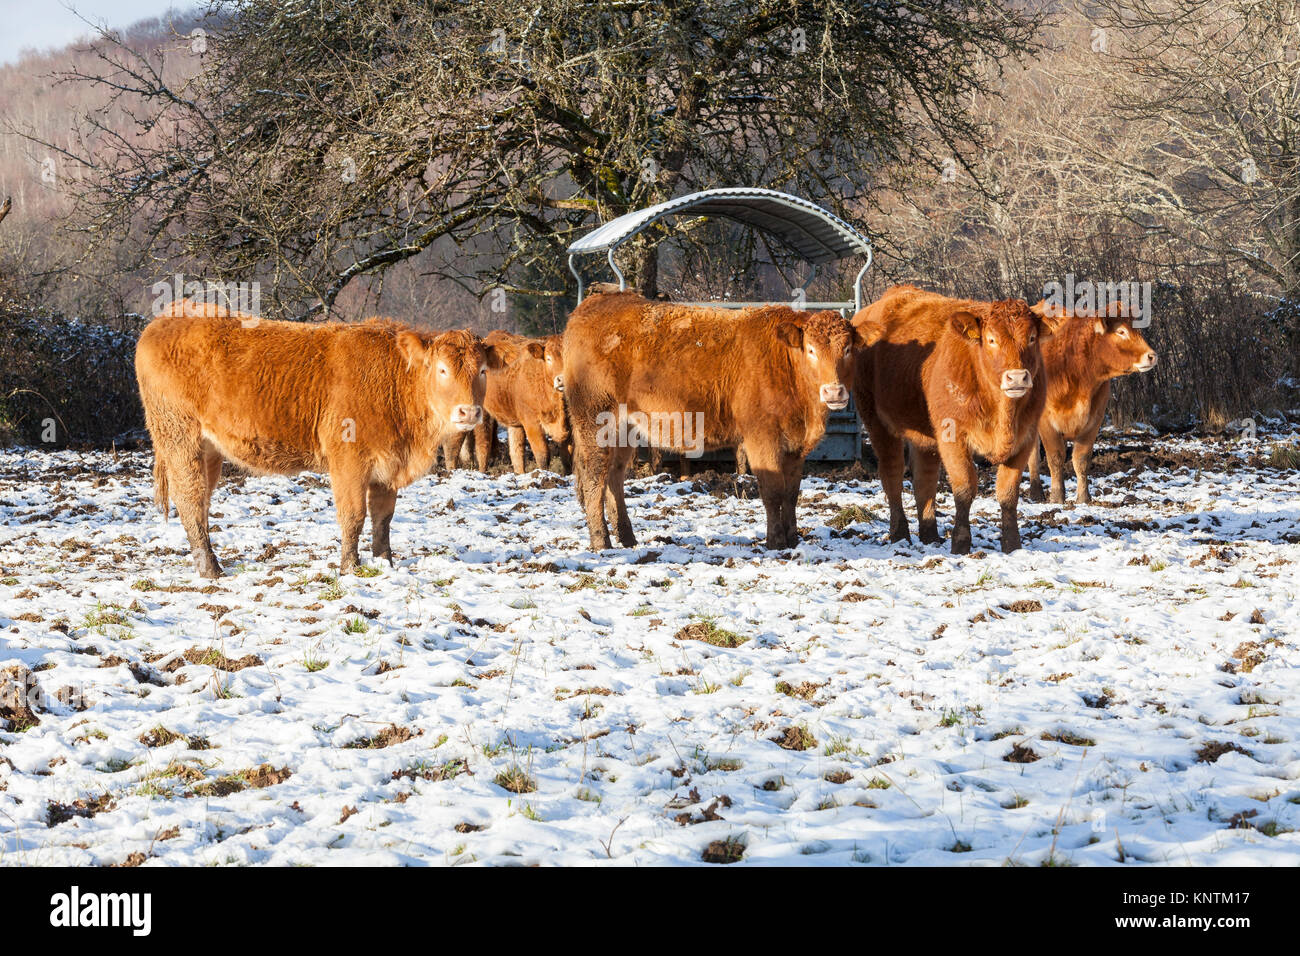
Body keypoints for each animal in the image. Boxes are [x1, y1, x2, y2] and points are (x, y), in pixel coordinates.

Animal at [135, 303, 501, 580]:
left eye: (482, 370)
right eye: (442, 370)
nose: (468, 411)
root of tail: (169, 315)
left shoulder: (388, 465)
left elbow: (383, 518)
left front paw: (385, 564)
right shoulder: (349, 460)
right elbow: (354, 516)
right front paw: (350, 568)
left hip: (208, 449)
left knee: (200, 502)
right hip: (179, 436)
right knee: (190, 500)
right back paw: (210, 569)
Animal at [561, 287, 857, 548]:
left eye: (847, 349)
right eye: (811, 350)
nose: (834, 391)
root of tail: (592, 304)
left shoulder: (795, 447)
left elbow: (792, 494)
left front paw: (793, 539)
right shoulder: (762, 437)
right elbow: (773, 492)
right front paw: (776, 542)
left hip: (624, 428)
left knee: (614, 475)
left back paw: (627, 538)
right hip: (594, 419)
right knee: (594, 476)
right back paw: (601, 541)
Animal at [847, 283, 1060, 554]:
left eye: (1032, 338)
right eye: (991, 340)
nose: (1017, 377)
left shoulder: (1025, 437)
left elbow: (1008, 492)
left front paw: (1012, 545)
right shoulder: (953, 436)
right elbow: (965, 488)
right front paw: (960, 543)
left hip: (924, 434)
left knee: (924, 480)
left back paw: (929, 535)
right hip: (877, 422)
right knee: (892, 474)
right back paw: (900, 534)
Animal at [1024, 303, 1159, 504]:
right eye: (1121, 331)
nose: (1152, 356)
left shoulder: (1094, 420)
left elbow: (1081, 459)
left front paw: (1083, 498)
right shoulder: (1046, 421)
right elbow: (1055, 458)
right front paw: (1057, 497)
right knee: (1032, 453)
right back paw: (1036, 492)